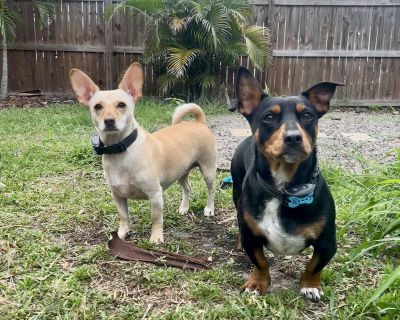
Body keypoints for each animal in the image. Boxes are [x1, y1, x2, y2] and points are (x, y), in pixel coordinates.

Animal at [70, 62, 217, 242]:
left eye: (122, 105)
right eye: (97, 106)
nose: (109, 120)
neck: (120, 151)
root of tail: (199, 122)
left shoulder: (155, 195)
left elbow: (156, 218)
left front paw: (156, 237)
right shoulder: (118, 196)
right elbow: (124, 217)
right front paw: (121, 234)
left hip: (208, 171)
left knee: (211, 190)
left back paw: (209, 208)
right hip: (181, 173)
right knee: (187, 188)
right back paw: (184, 207)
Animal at [231, 66, 344, 302]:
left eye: (308, 115)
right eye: (269, 117)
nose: (293, 137)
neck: (282, 190)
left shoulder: (328, 243)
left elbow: (314, 266)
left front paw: (310, 286)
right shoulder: (251, 240)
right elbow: (260, 262)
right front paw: (257, 283)